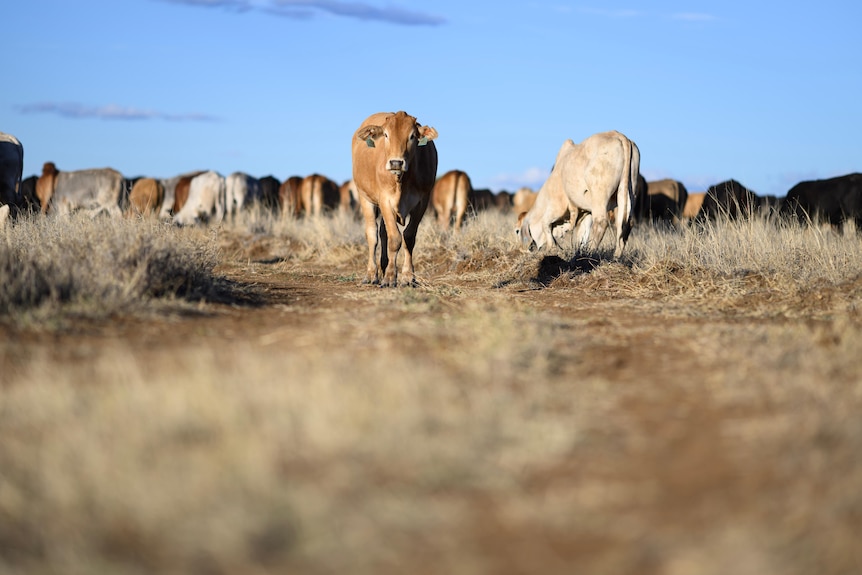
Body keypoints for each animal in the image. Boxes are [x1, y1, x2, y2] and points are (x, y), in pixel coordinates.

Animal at [351, 111, 438, 287]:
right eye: (386, 134)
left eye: (412, 136)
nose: (396, 163)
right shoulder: (384, 200)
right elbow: (395, 239)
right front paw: (390, 277)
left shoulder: (422, 202)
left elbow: (408, 237)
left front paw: (408, 276)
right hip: (365, 198)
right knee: (372, 235)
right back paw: (372, 274)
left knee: (383, 233)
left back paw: (383, 267)